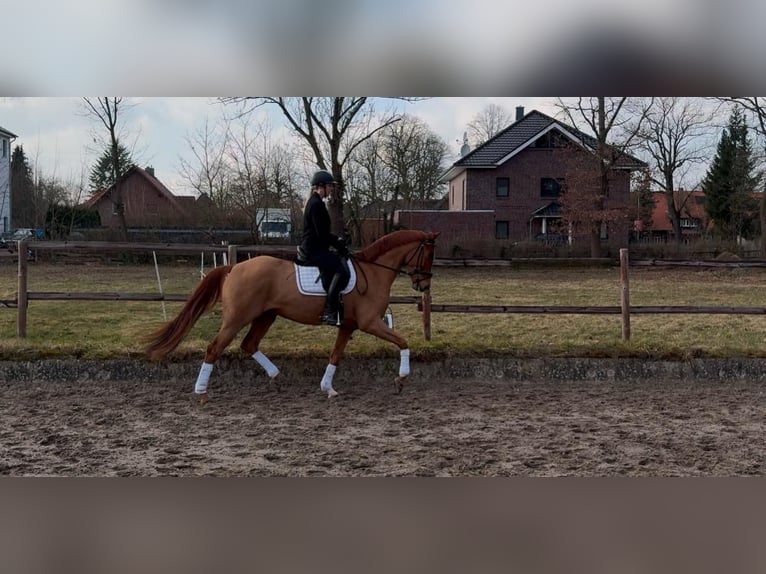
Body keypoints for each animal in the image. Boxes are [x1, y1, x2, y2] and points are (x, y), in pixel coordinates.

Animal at [145, 228, 440, 400]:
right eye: (428, 254)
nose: (423, 285)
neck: (374, 271)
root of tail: (233, 268)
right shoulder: (370, 323)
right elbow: (403, 341)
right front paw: (401, 379)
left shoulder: (348, 326)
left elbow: (336, 355)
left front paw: (328, 388)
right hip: (237, 318)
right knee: (214, 348)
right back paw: (201, 392)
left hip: (266, 316)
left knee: (249, 344)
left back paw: (276, 378)